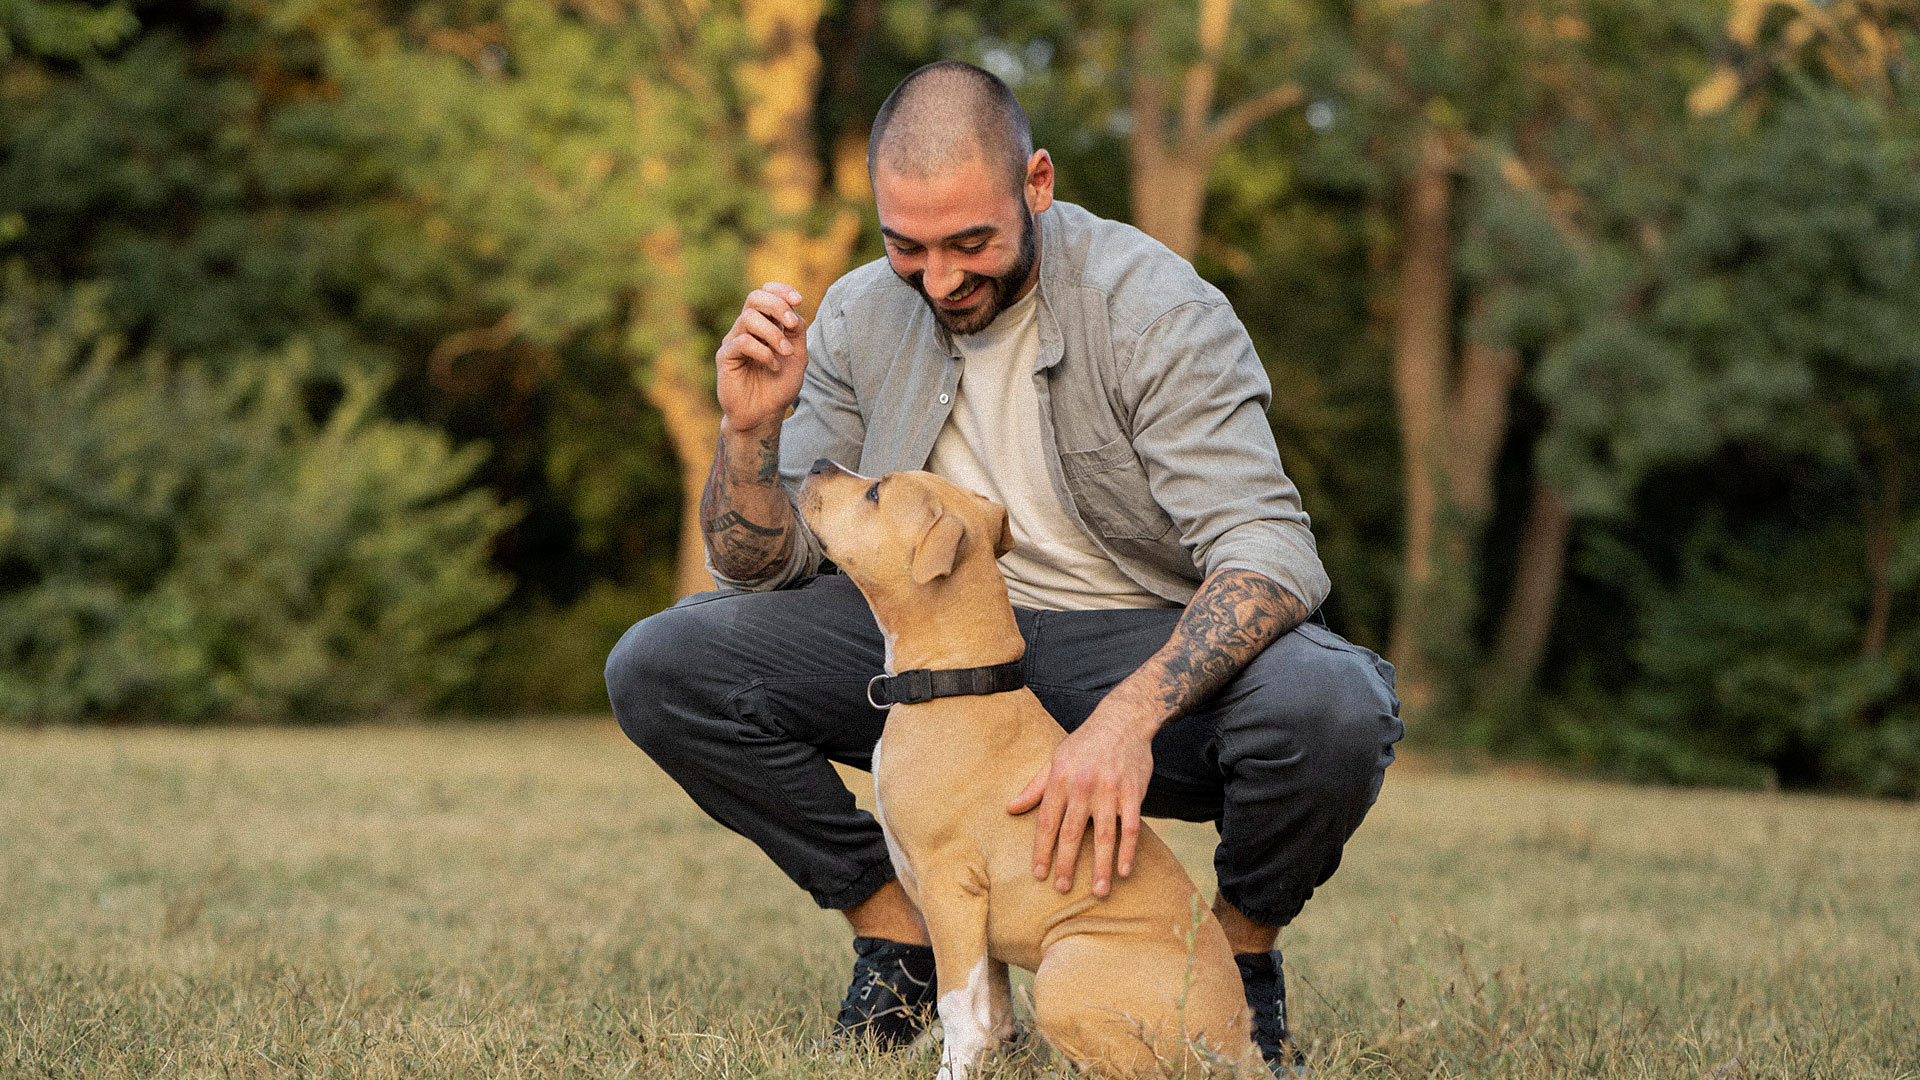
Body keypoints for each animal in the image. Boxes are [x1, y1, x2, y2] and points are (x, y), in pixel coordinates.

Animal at [794, 461, 1259, 1076]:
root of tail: (1239, 1044)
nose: (818, 464)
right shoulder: (976, 915)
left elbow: (957, 1004)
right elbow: (988, 1006)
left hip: (1066, 969)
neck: (957, 681)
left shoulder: (951, 887)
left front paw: (951, 1069)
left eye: (874, 493)